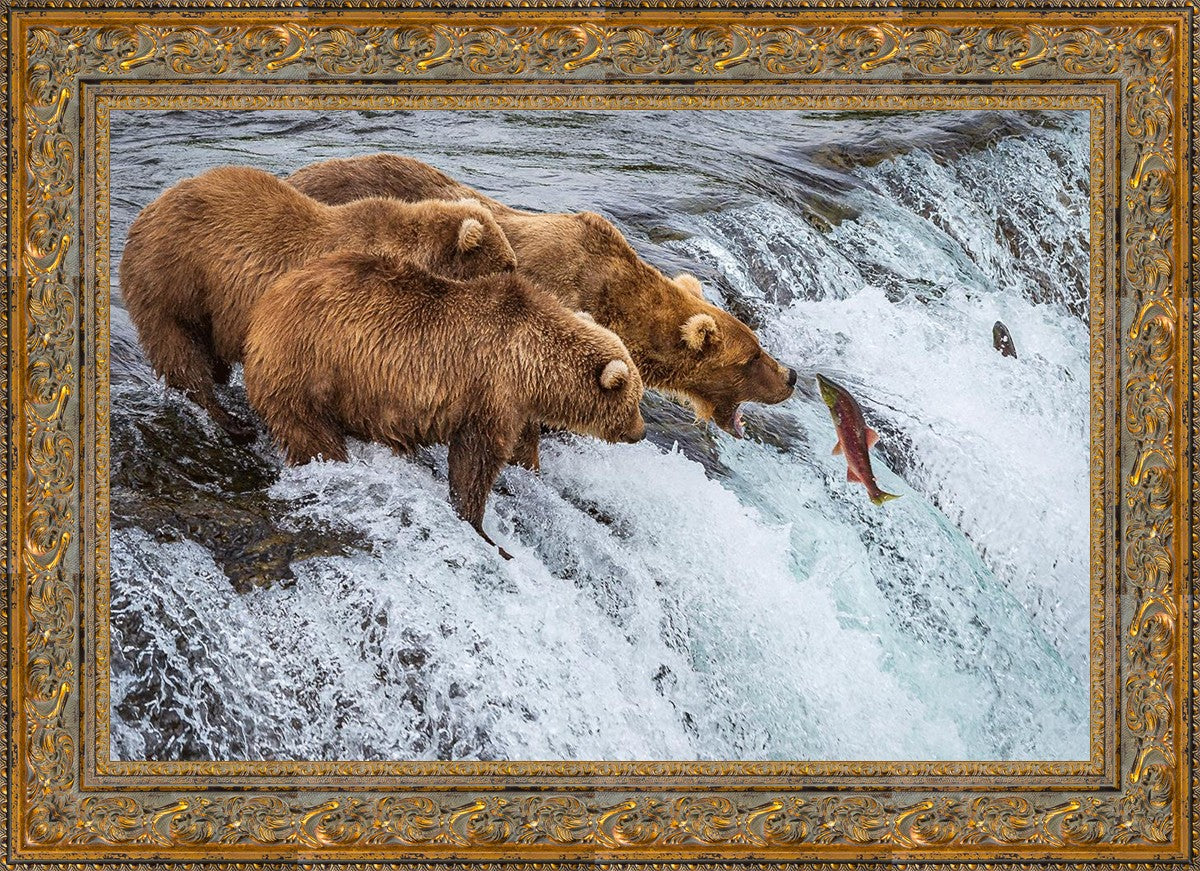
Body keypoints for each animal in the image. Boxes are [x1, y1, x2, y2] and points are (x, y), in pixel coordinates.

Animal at [118, 164, 517, 441]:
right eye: (507, 264)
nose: (519, 280)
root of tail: (147, 211)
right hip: (174, 280)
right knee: (180, 351)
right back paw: (231, 421)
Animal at [243, 249, 646, 558]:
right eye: (635, 401)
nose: (641, 432)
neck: (532, 365)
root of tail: (266, 305)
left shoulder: (516, 404)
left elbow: (520, 447)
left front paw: (530, 472)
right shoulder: (490, 390)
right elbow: (475, 461)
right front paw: (483, 530)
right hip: (310, 368)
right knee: (311, 433)